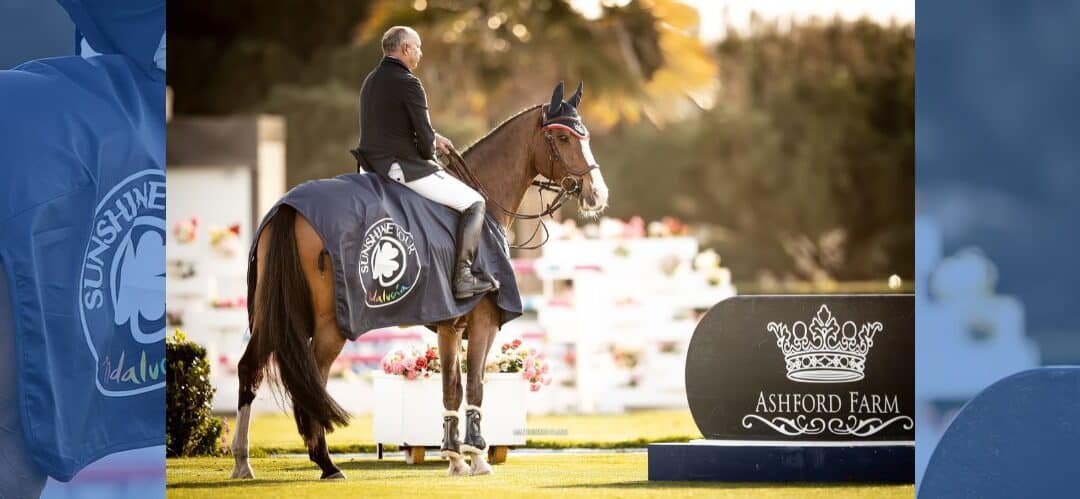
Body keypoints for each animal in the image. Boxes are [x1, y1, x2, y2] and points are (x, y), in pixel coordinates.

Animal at [228, 82, 609, 479]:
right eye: (563, 138)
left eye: (585, 135)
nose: (597, 194)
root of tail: (290, 207)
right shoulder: (483, 321)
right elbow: (474, 386)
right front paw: (476, 456)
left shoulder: (450, 325)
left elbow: (451, 388)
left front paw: (455, 456)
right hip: (329, 324)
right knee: (311, 378)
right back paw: (326, 462)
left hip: (276, 316)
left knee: (250, 368)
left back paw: (243, 461)